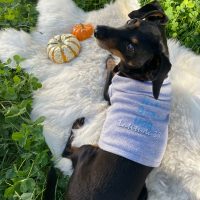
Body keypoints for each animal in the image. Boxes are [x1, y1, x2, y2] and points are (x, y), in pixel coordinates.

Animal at [44, 0, 171, 199]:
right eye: (131, 22)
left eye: (131, 48)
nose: (97, 30)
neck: (143, 76)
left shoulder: (109, 93)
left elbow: (111, 71)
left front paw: (111, 61)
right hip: (144, 191)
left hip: (87, 150)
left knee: (66, 152)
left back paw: (78, 124)